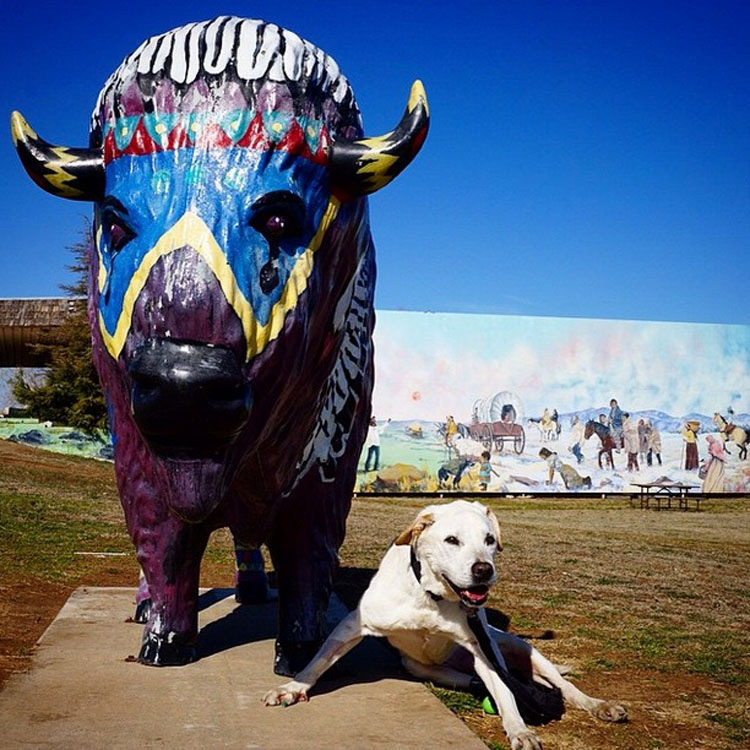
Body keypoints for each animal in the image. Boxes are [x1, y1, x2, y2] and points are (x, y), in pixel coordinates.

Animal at [264, 502, 628, 748]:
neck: (432, 595)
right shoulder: (353, 625)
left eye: (490, 539)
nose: (483, 570)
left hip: (519, 647)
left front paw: (519, 730)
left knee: (559, 686)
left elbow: (506, 692)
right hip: (422, 667)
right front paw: (292, 688)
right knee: (479, 681)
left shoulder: (482, 650)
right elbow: (317, 663)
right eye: (451, 540)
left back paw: (598, 705)